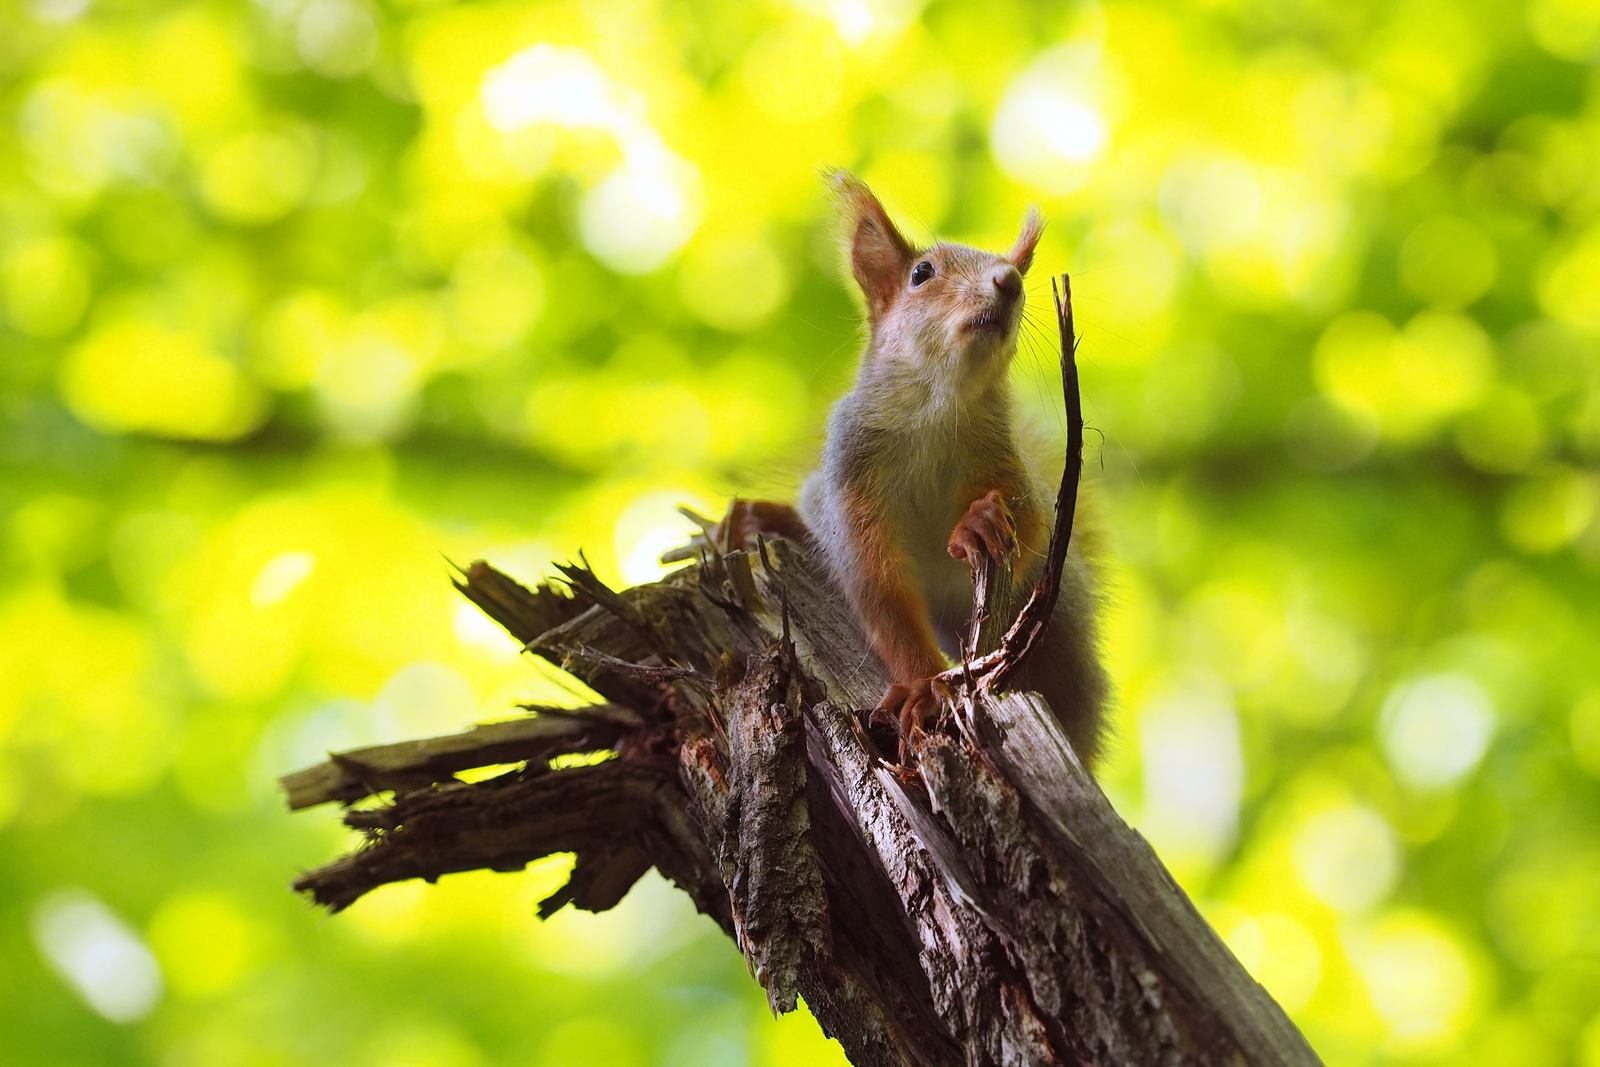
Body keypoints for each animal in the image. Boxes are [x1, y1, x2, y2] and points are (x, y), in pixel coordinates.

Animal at [710, 168, 1100, 767]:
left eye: (1016, 272)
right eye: (922, 273)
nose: (1010, 280)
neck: (937, 409)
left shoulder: (1004, 463)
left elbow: (1033, 526)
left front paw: (981, 524)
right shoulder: (851, 474)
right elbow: (880, 589)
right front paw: (922, 687)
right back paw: (761, 519)